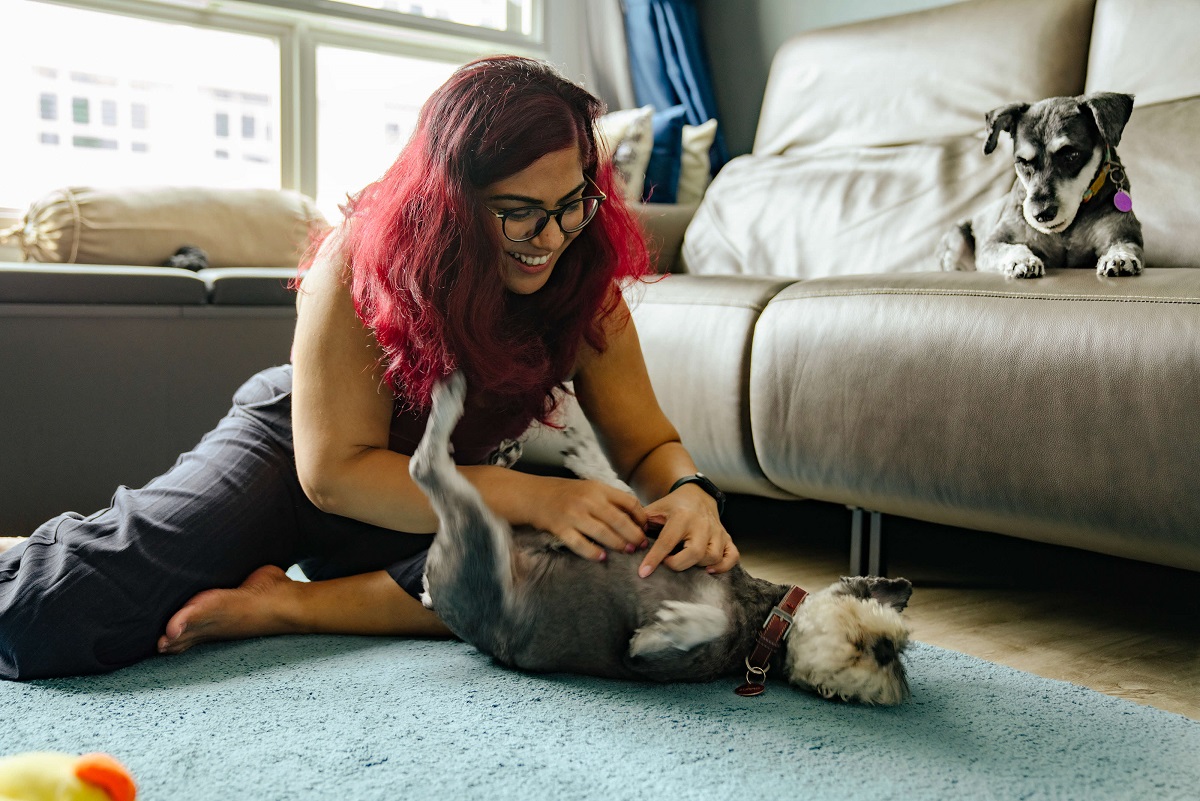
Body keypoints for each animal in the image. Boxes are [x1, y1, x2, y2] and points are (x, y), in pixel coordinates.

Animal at [408, 371, 912, 705]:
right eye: (893, 651)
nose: (889, 648)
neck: (765, 619)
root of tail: (436, 592)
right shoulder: (662, 526)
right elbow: (625, 493)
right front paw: (588, 457)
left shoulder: (655, 663)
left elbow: (682, 631)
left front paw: (674, 622)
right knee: (431, 466)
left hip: (481, 555)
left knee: (426, 467)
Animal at [936, 92, 1142, 280]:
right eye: (1022, 161)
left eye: (1071, 155)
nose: (1042, 214)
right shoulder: (993, 244)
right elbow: (1011, 247)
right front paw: (1022, 261)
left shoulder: (1122, 233)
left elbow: (1125, 244)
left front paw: (1120, 258)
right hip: (956, 237)